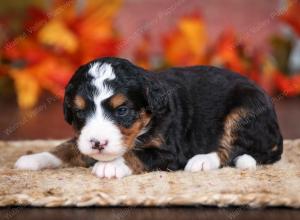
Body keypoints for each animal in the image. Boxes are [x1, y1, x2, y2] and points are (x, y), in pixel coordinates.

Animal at [15, 57, 284, 179]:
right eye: (80, 111)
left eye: (122, 110)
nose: (98, 143)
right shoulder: (82, 138)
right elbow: (67, 146)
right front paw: (35, 158)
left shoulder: (171, 152)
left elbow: (136, 154)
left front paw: (111, 166)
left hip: (244, 108)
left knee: (231, 149)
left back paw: (202, 160)